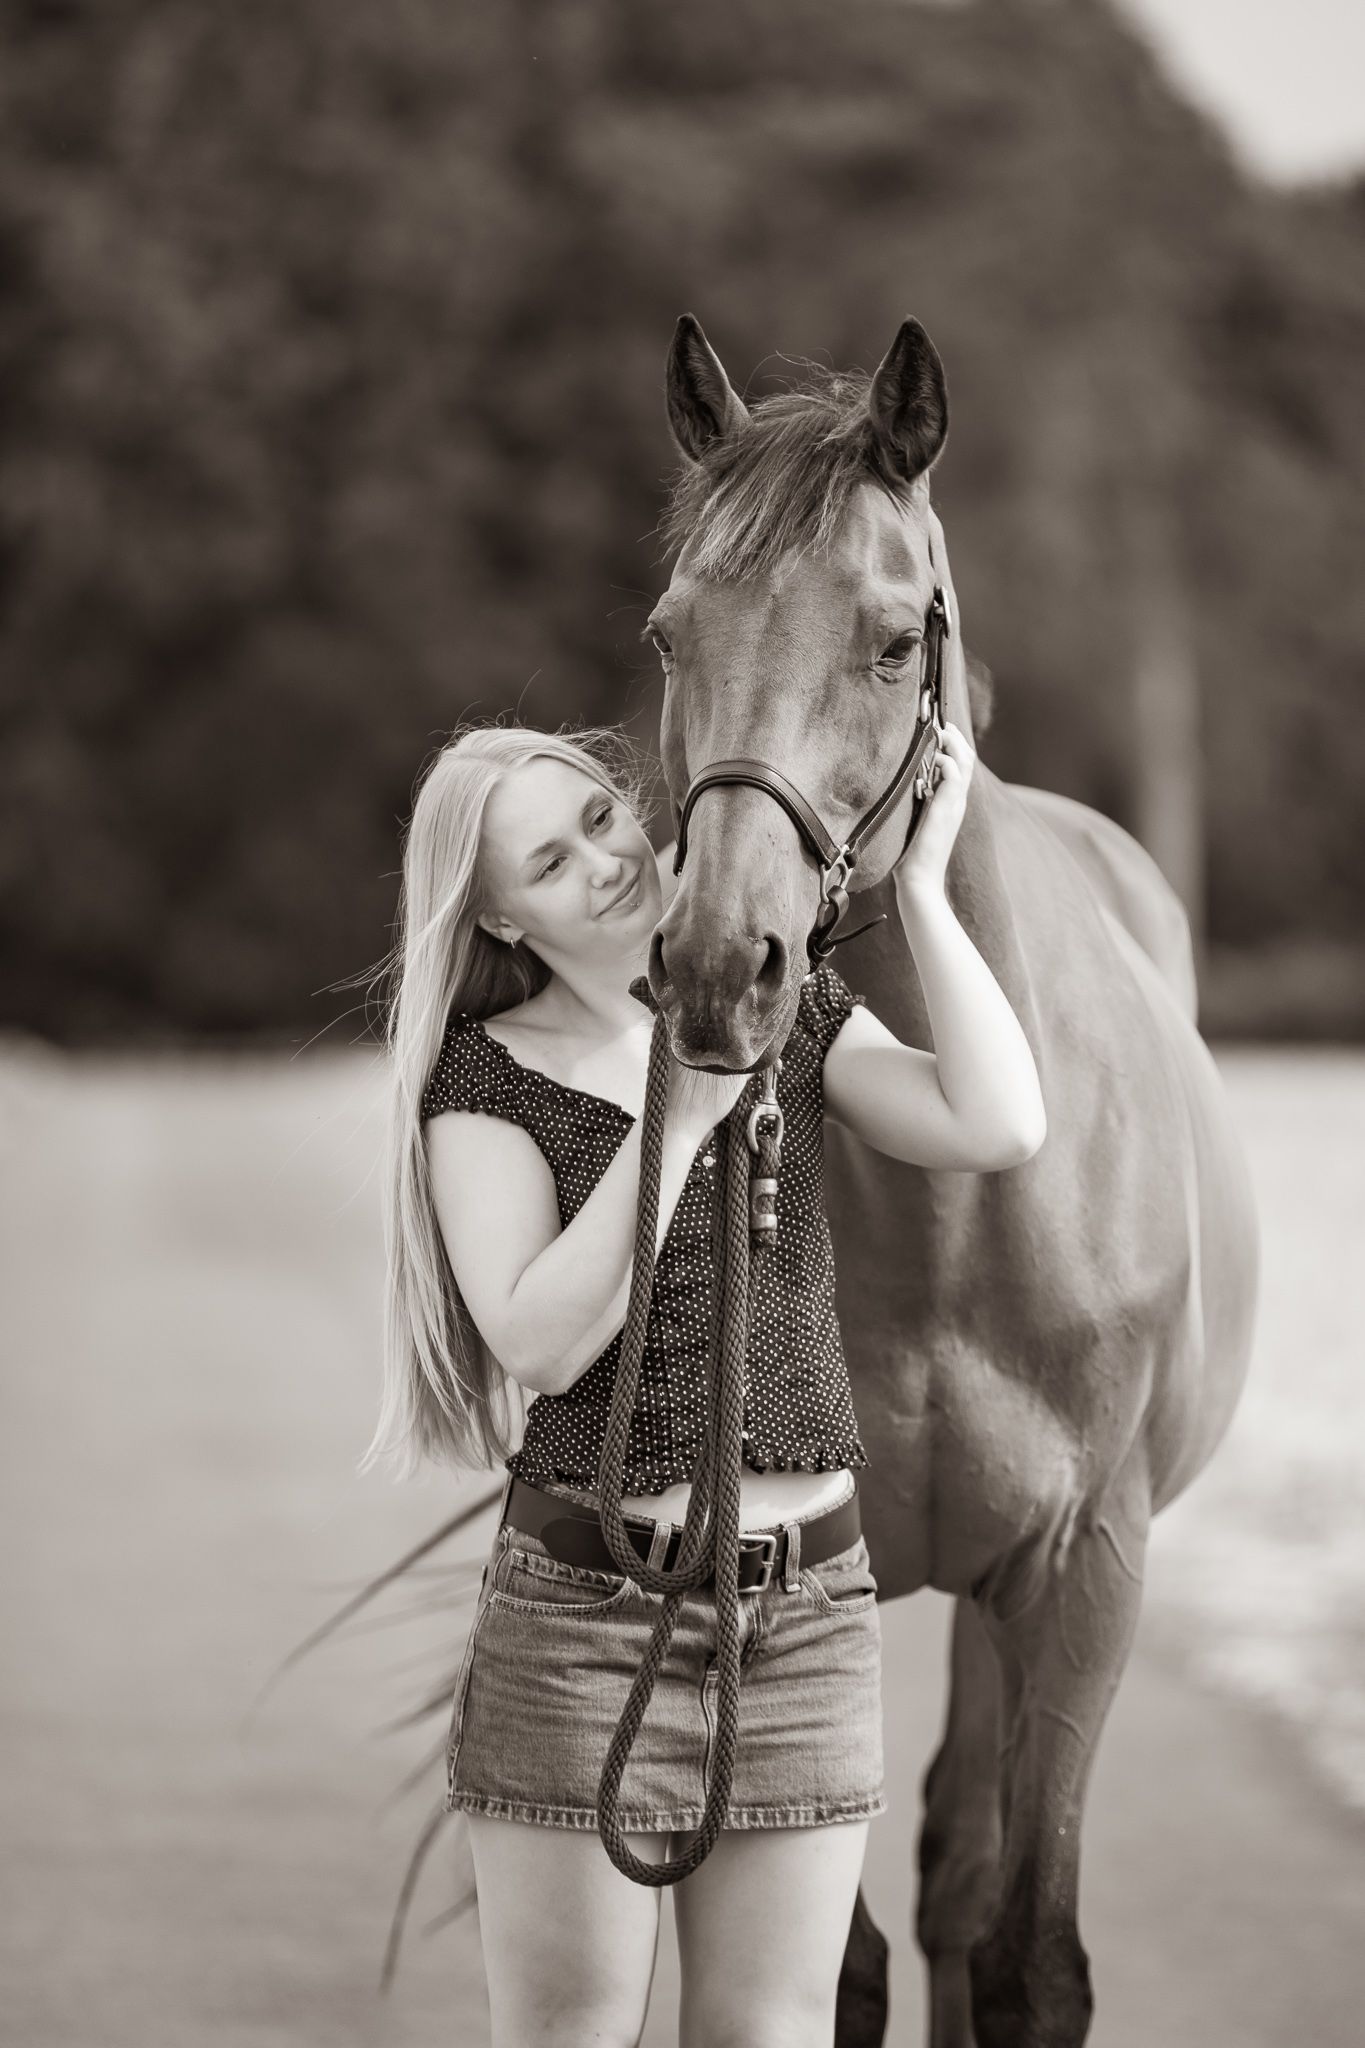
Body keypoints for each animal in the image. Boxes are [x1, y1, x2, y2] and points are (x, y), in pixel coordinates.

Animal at [647, 314, 1259, 2048]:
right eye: (669, 637)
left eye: (887, 643)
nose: (718, 967)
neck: (963, 1208)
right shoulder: (782, 1578)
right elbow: (834, 1966)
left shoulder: (1079, 1575)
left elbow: (1027, 1955)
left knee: (963, 1874)